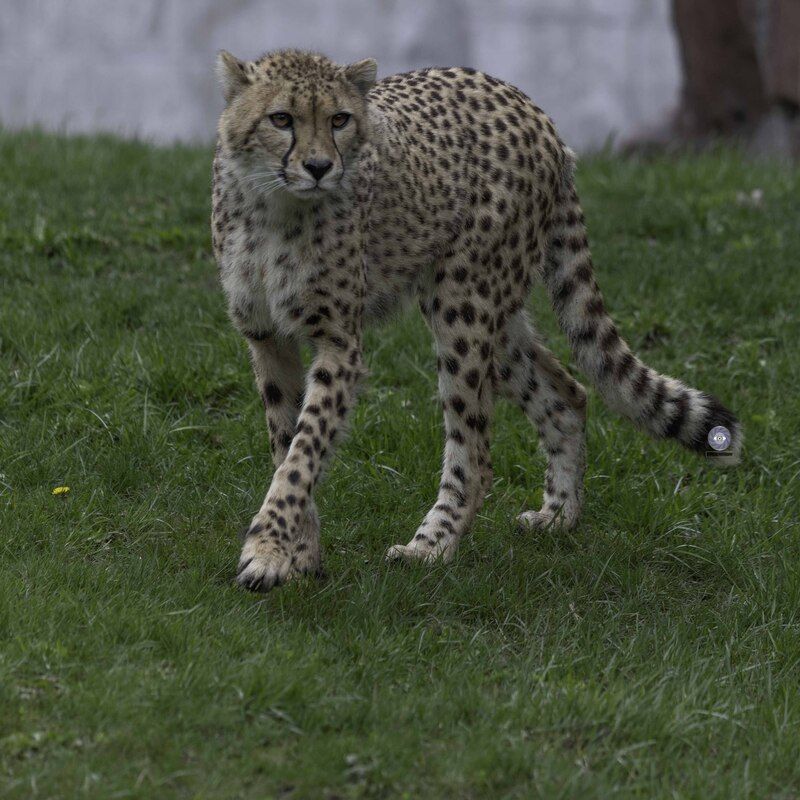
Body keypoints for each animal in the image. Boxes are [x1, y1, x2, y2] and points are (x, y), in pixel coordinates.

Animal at [210, 49, 742, 592]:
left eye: (339, 120)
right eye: (281, 119)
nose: (319, 167)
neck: (276, 207)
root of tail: (534, 111)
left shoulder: (339, 343)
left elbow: (305, 450)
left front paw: (267, 548)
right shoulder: (267, 338)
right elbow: (287, 445)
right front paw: (298, 556)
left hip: (462, 305)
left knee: (477, 453)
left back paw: (431, 546)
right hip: (491, 315)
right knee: (567, 392)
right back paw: (559, 516)